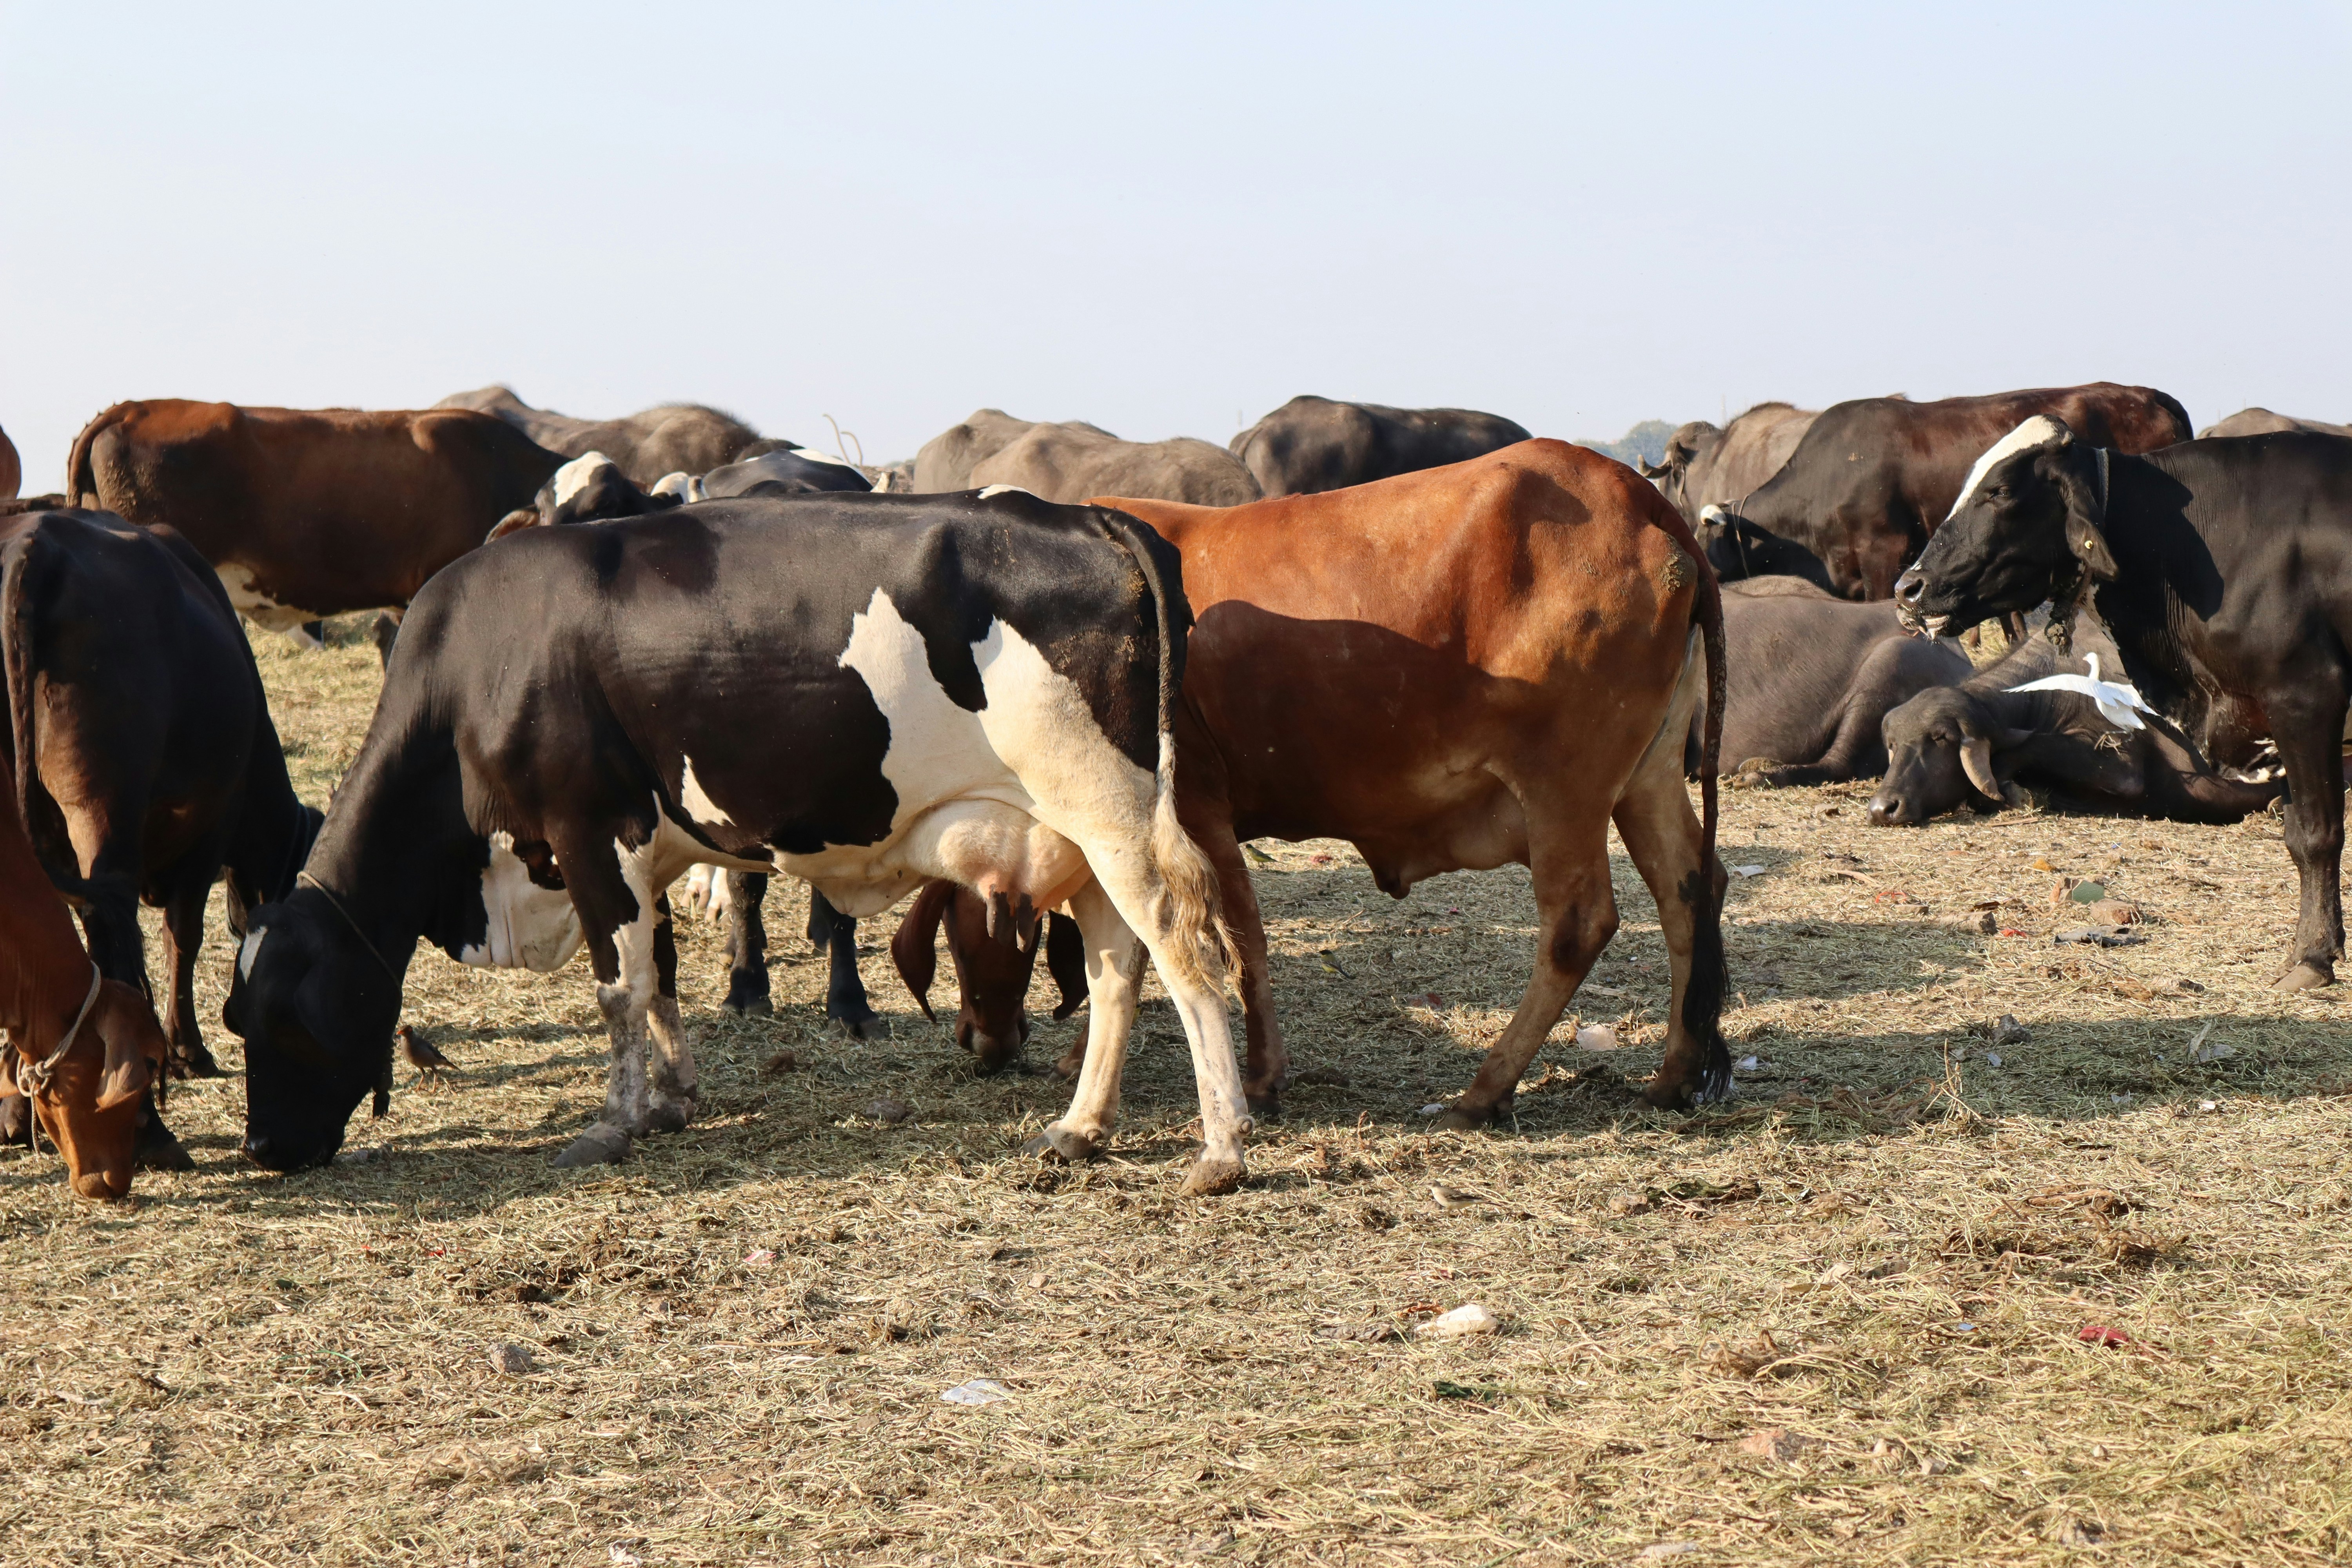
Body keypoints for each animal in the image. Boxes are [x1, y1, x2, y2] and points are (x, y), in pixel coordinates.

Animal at [0, 504, 322, 1167]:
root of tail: (36, 540)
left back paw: (20, 1112)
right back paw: (145, 1127)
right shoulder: (211, 831)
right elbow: (183, 936)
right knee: (113, 941)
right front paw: (188, 1049)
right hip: (103, 813)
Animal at [225, 489, 1253, 1192]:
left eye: (282, 1021)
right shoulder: (651, 846)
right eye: (236, 1020)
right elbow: (663, 978)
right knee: (1119, 966)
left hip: (1110, 810)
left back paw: (1222, 1145)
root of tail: (1085, 515)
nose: (263, 1150)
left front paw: (614, 1122)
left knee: (1185, 952)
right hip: (1077, 834)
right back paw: (1081, 1126)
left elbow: (617, 989)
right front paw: (675, 1098)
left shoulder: (591, 827)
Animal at [729, 442, 1734, 1121]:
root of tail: (1651, 509)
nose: (981, 1041)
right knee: (1692, 888)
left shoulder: (1190, 812)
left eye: (963, 929)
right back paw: (1679, 1066)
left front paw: (1247, 1073)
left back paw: (1485, 1088)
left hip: (1563, 784)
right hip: (1643, 778)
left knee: (1580, 922)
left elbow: (1221, 942)